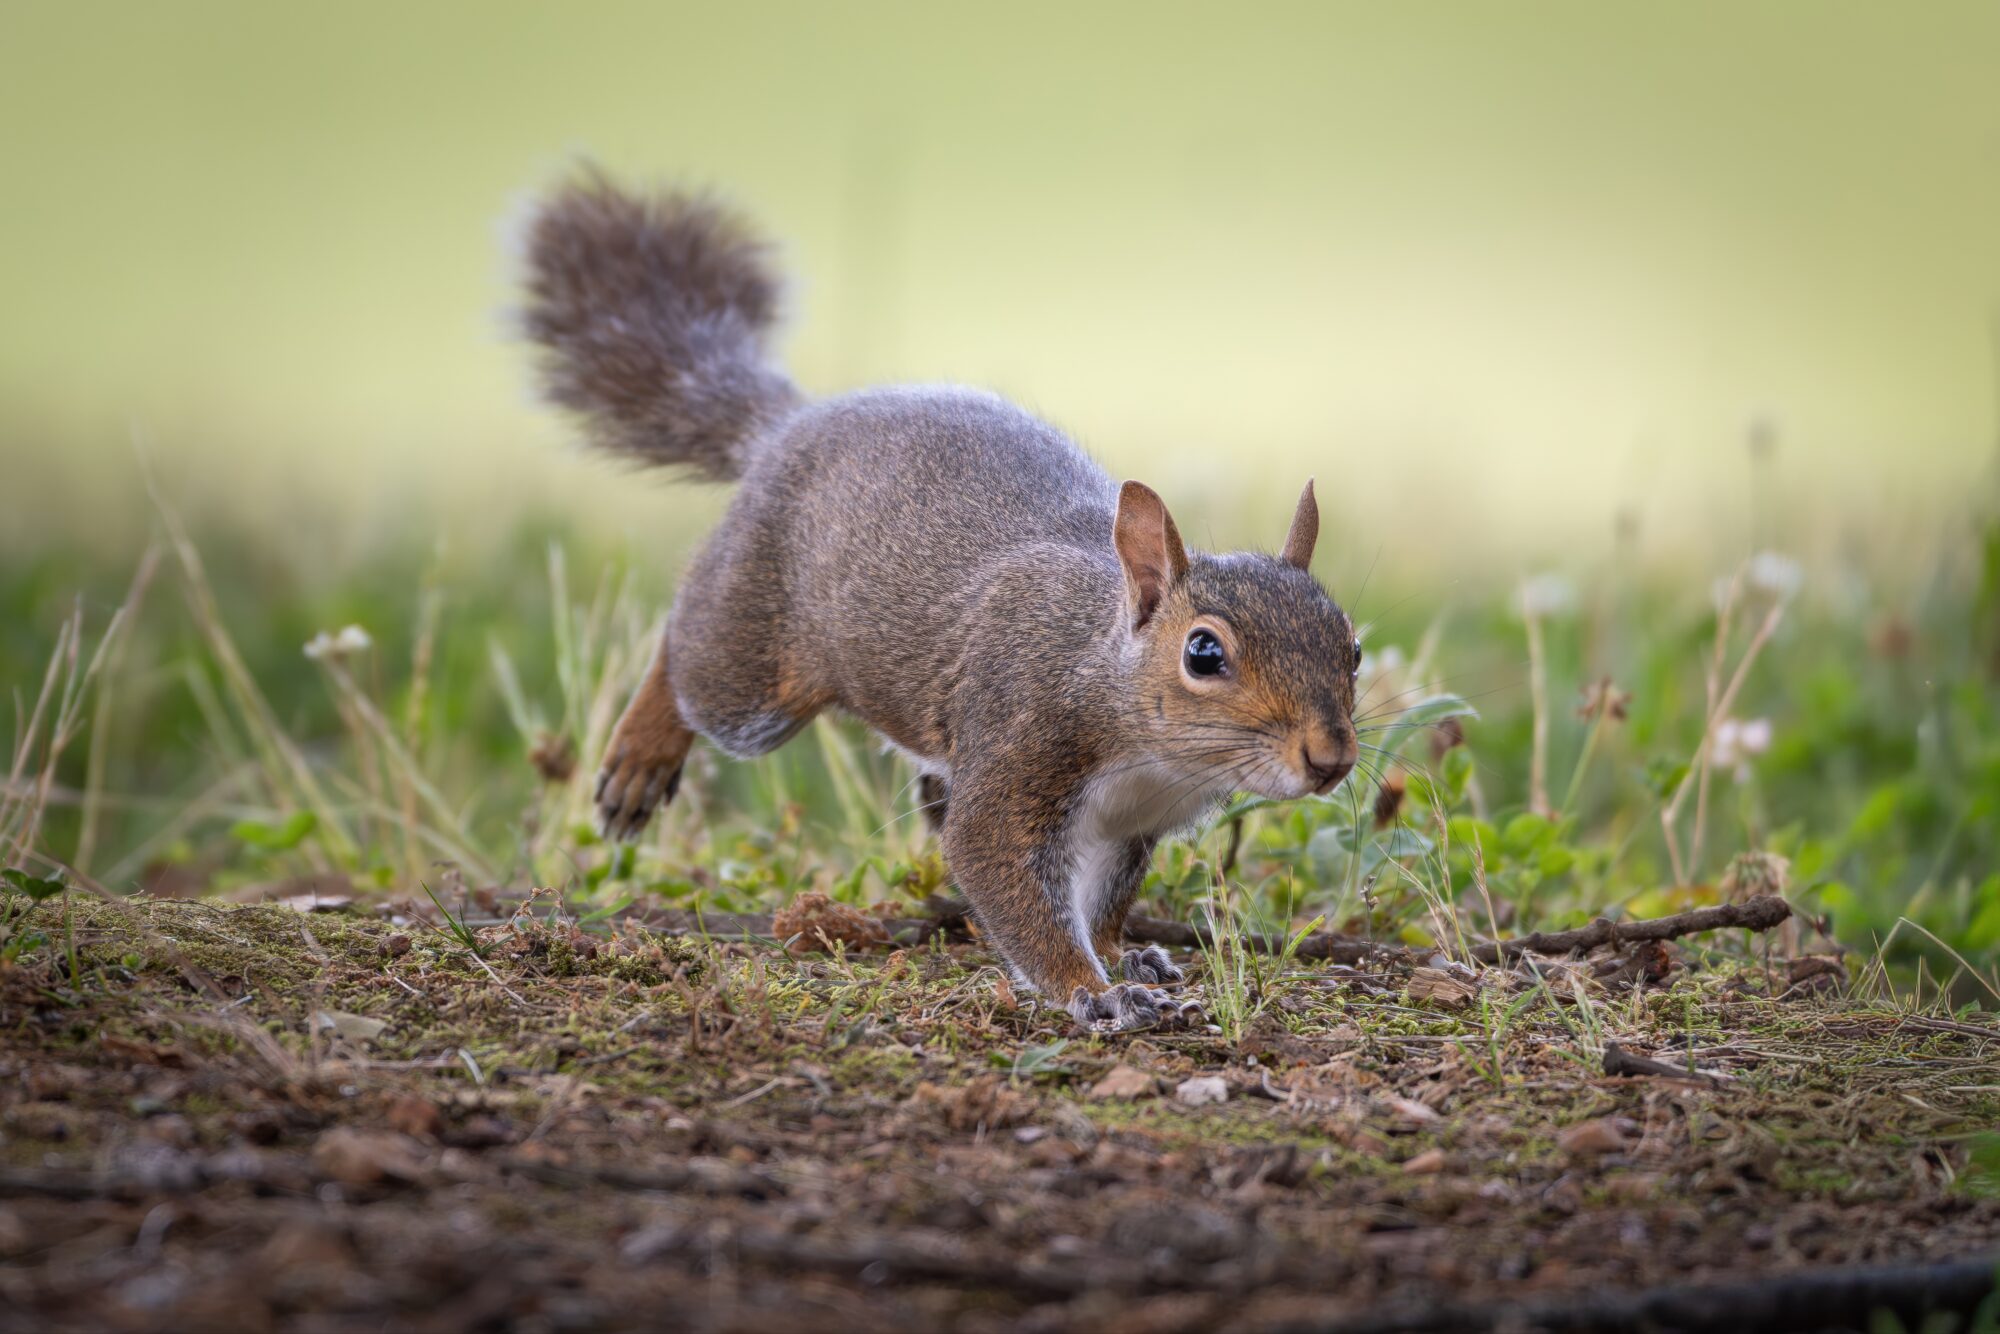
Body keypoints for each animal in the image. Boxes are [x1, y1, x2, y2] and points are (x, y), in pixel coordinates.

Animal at [519, 170, 1361, 1031]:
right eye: (1204, 653)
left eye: (1353, 648)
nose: (1331, 759)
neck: (1120, 702)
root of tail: (791, 425)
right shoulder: (1020, 748)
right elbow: (998, 870)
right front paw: (1093, 990)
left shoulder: (1133, 827)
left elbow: (1105, 903)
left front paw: (1127, 955)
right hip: (754, 674)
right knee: (686, 647)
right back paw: (642, 753)